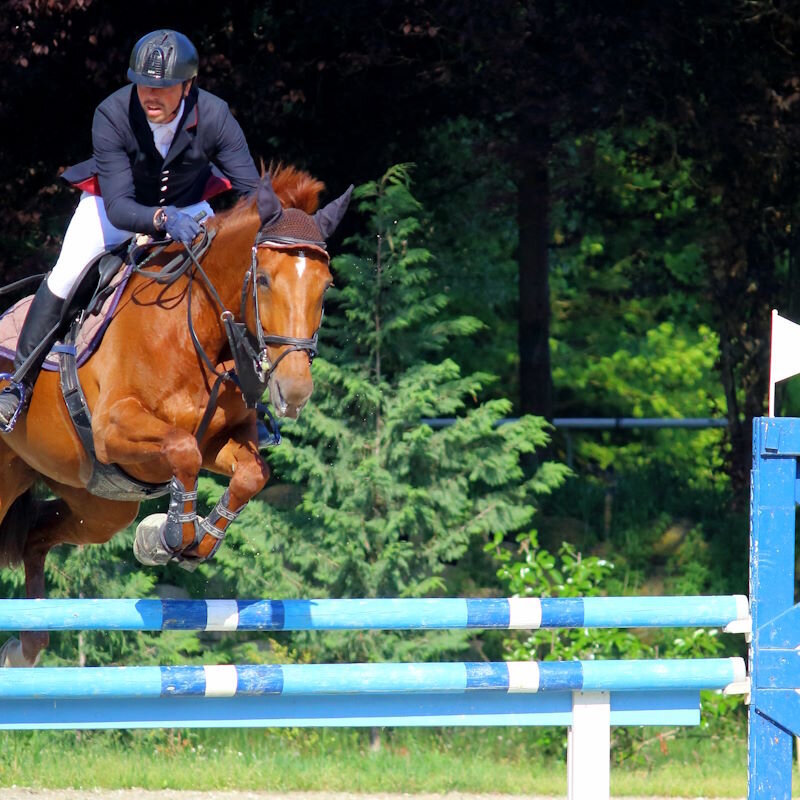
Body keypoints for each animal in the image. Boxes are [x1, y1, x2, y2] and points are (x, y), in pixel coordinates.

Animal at [0, 166, 350, 664]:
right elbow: (182, 451)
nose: (295, 391)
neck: (195, 330)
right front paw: (169, 536)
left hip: (98, 504)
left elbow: (251, 474)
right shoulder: (114, 428)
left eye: (326, 286)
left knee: (34, 535)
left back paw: (27, 647)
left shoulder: (219, 440)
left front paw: (190, 539)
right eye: (262, 279)